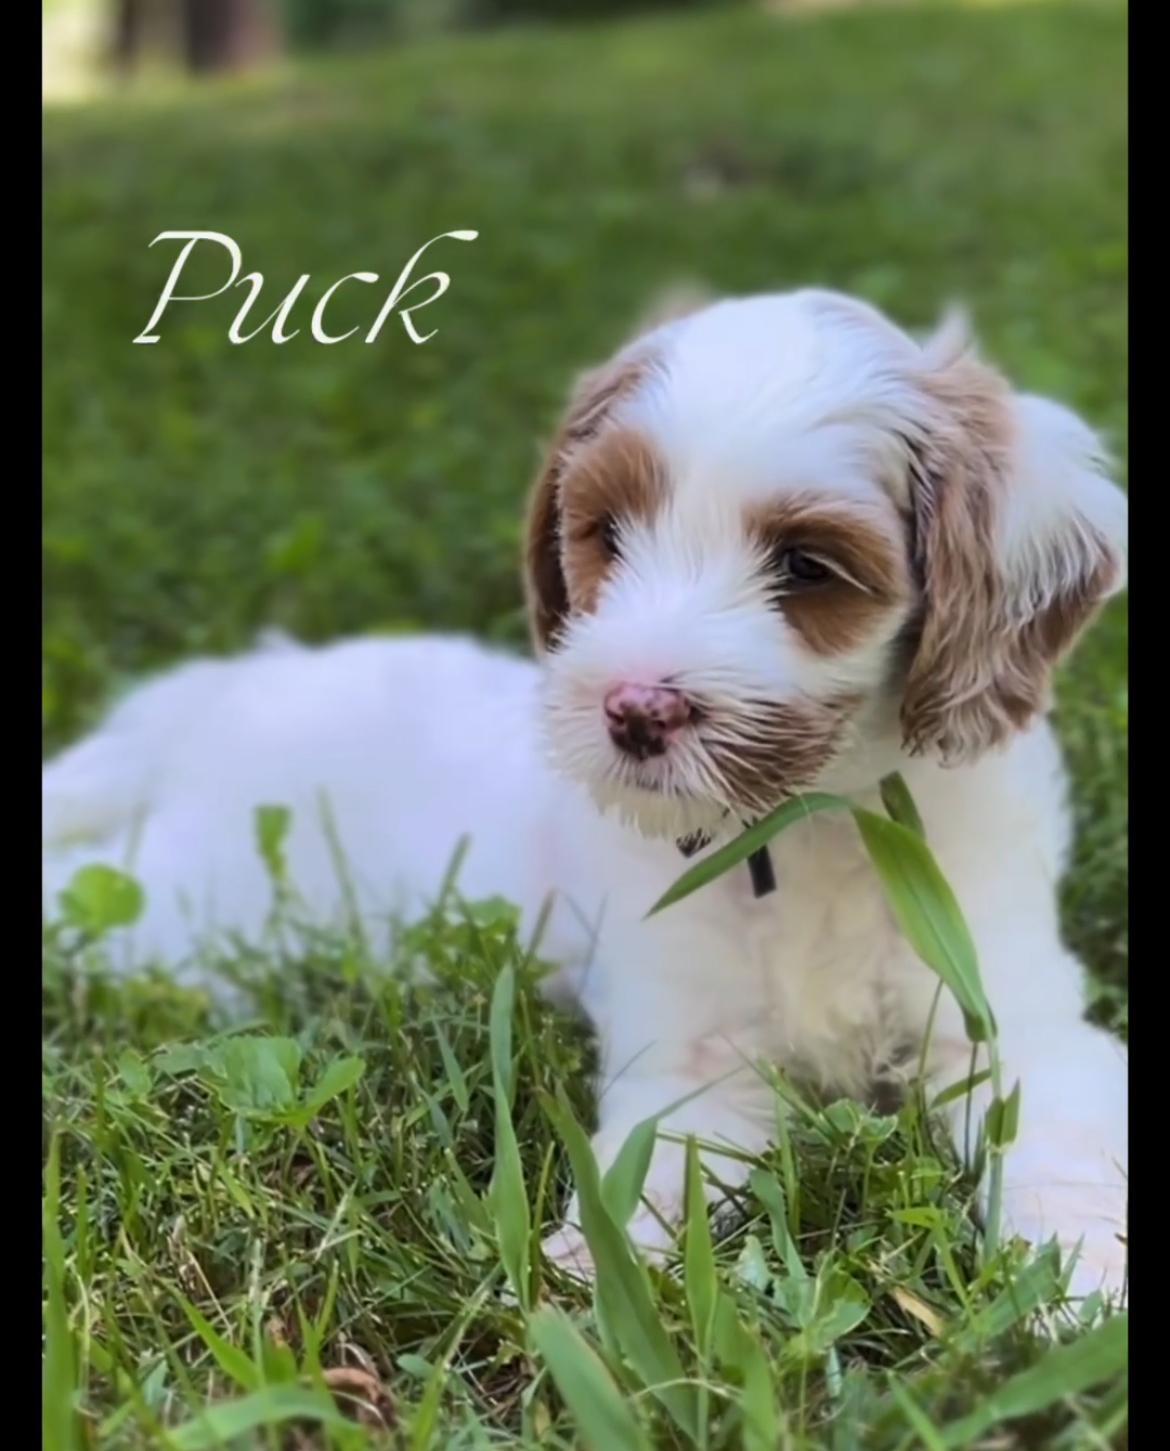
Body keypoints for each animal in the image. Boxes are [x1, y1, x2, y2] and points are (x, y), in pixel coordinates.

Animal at [43, 289, 1128, 1299]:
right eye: (607, 532)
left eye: (808, 565)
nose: (636, 710)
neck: (809, 818)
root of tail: (214, 692)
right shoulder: (689, 1055)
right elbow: (647, 1172)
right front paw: (584, 1279)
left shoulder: (1009, 1021)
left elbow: (1064, 1148)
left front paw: (1083, 1285)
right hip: (199, 907)